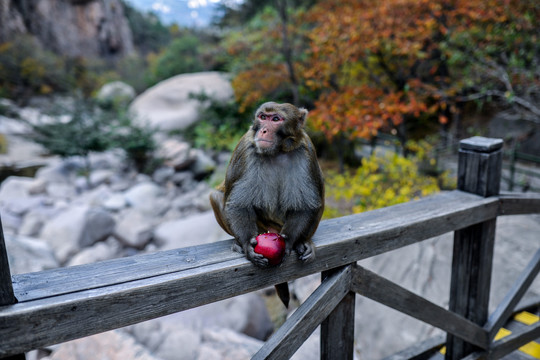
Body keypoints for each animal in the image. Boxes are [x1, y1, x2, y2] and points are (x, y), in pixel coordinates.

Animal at [209, 101, 322, 306]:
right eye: (262, 117)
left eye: (275, 119)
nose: (263, 130)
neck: (277, 151)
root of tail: (272, 229)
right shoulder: (247, 149)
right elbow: (239, 204)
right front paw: (247, 245)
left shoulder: (305, 150)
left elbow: (306, 206)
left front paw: (290, 242)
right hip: (262, 226)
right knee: (216, 195)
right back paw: (238, 243)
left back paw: (304, 242)